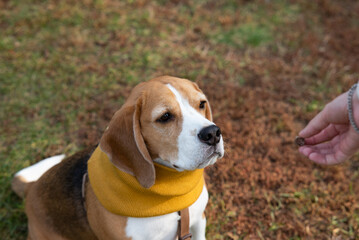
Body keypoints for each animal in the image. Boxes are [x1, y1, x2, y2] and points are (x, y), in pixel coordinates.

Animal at [12, 76, 225, 239]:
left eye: (201, 104)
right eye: (165, 117)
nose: (213, 133)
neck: (172, 197)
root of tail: (32, 187)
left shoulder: (197, 221)